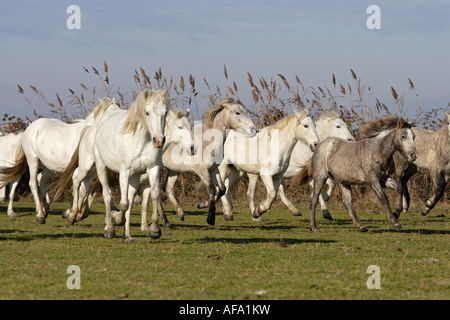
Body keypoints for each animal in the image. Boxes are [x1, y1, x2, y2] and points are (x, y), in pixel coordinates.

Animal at [0, 96, 120, 224]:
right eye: (110, 113)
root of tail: (30, 128)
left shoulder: (92, 170)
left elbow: (89, 190)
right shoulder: (79, 169)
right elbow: (82, 189)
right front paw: (72, 213)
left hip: (51, 167)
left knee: (40, 178)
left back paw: (45, 208)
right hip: (33, 160)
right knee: (33, 183)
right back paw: (40, 215)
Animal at [159, 96, 256, 226]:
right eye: (237, 112)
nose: (254, 130)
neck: (208, 142)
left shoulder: (213, 170)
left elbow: (221, 189)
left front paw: (201, 205)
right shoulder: (202, 171)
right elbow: (211, 189)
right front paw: (210, 218)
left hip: (174, 170)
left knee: (168, 189)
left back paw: (180, 214)